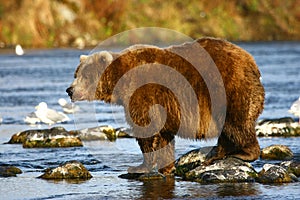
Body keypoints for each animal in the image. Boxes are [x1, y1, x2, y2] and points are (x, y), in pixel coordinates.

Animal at [66, 37, 264, 175]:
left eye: (84, 75)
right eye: (76, 74)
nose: (70, 90)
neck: (120, 83)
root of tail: (250, 61)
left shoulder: (143, 92)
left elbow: (145, 128)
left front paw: (138, 167)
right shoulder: (166, 106)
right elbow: (164, 134)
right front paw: (166, 167)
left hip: (225, 87)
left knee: (236, 121)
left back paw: (244, 153)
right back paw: (215, 155)